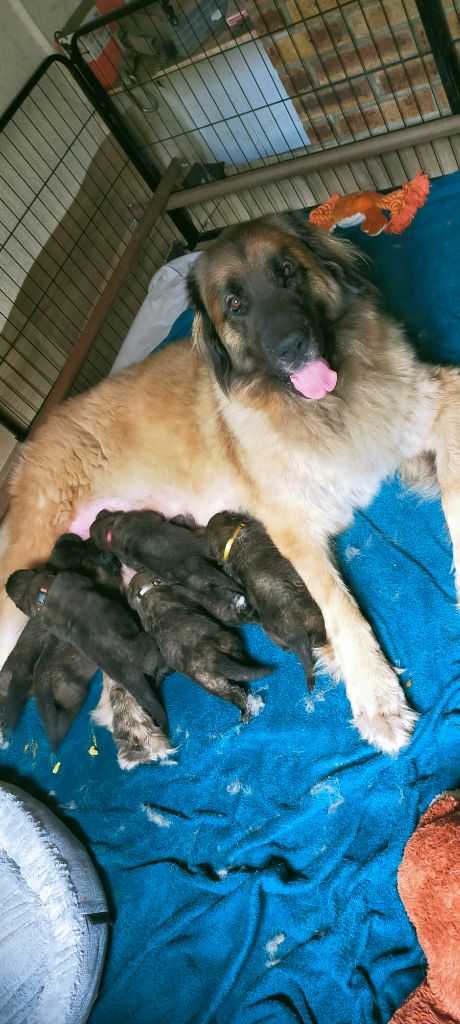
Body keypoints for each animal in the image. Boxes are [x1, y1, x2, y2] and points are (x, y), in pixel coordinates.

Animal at [125, 569, 268, 720]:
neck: (145, 593)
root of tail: (211, 662)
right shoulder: (186, 592)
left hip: (214, 683)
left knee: (235, 694)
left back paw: (245, 712)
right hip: (229, 643)